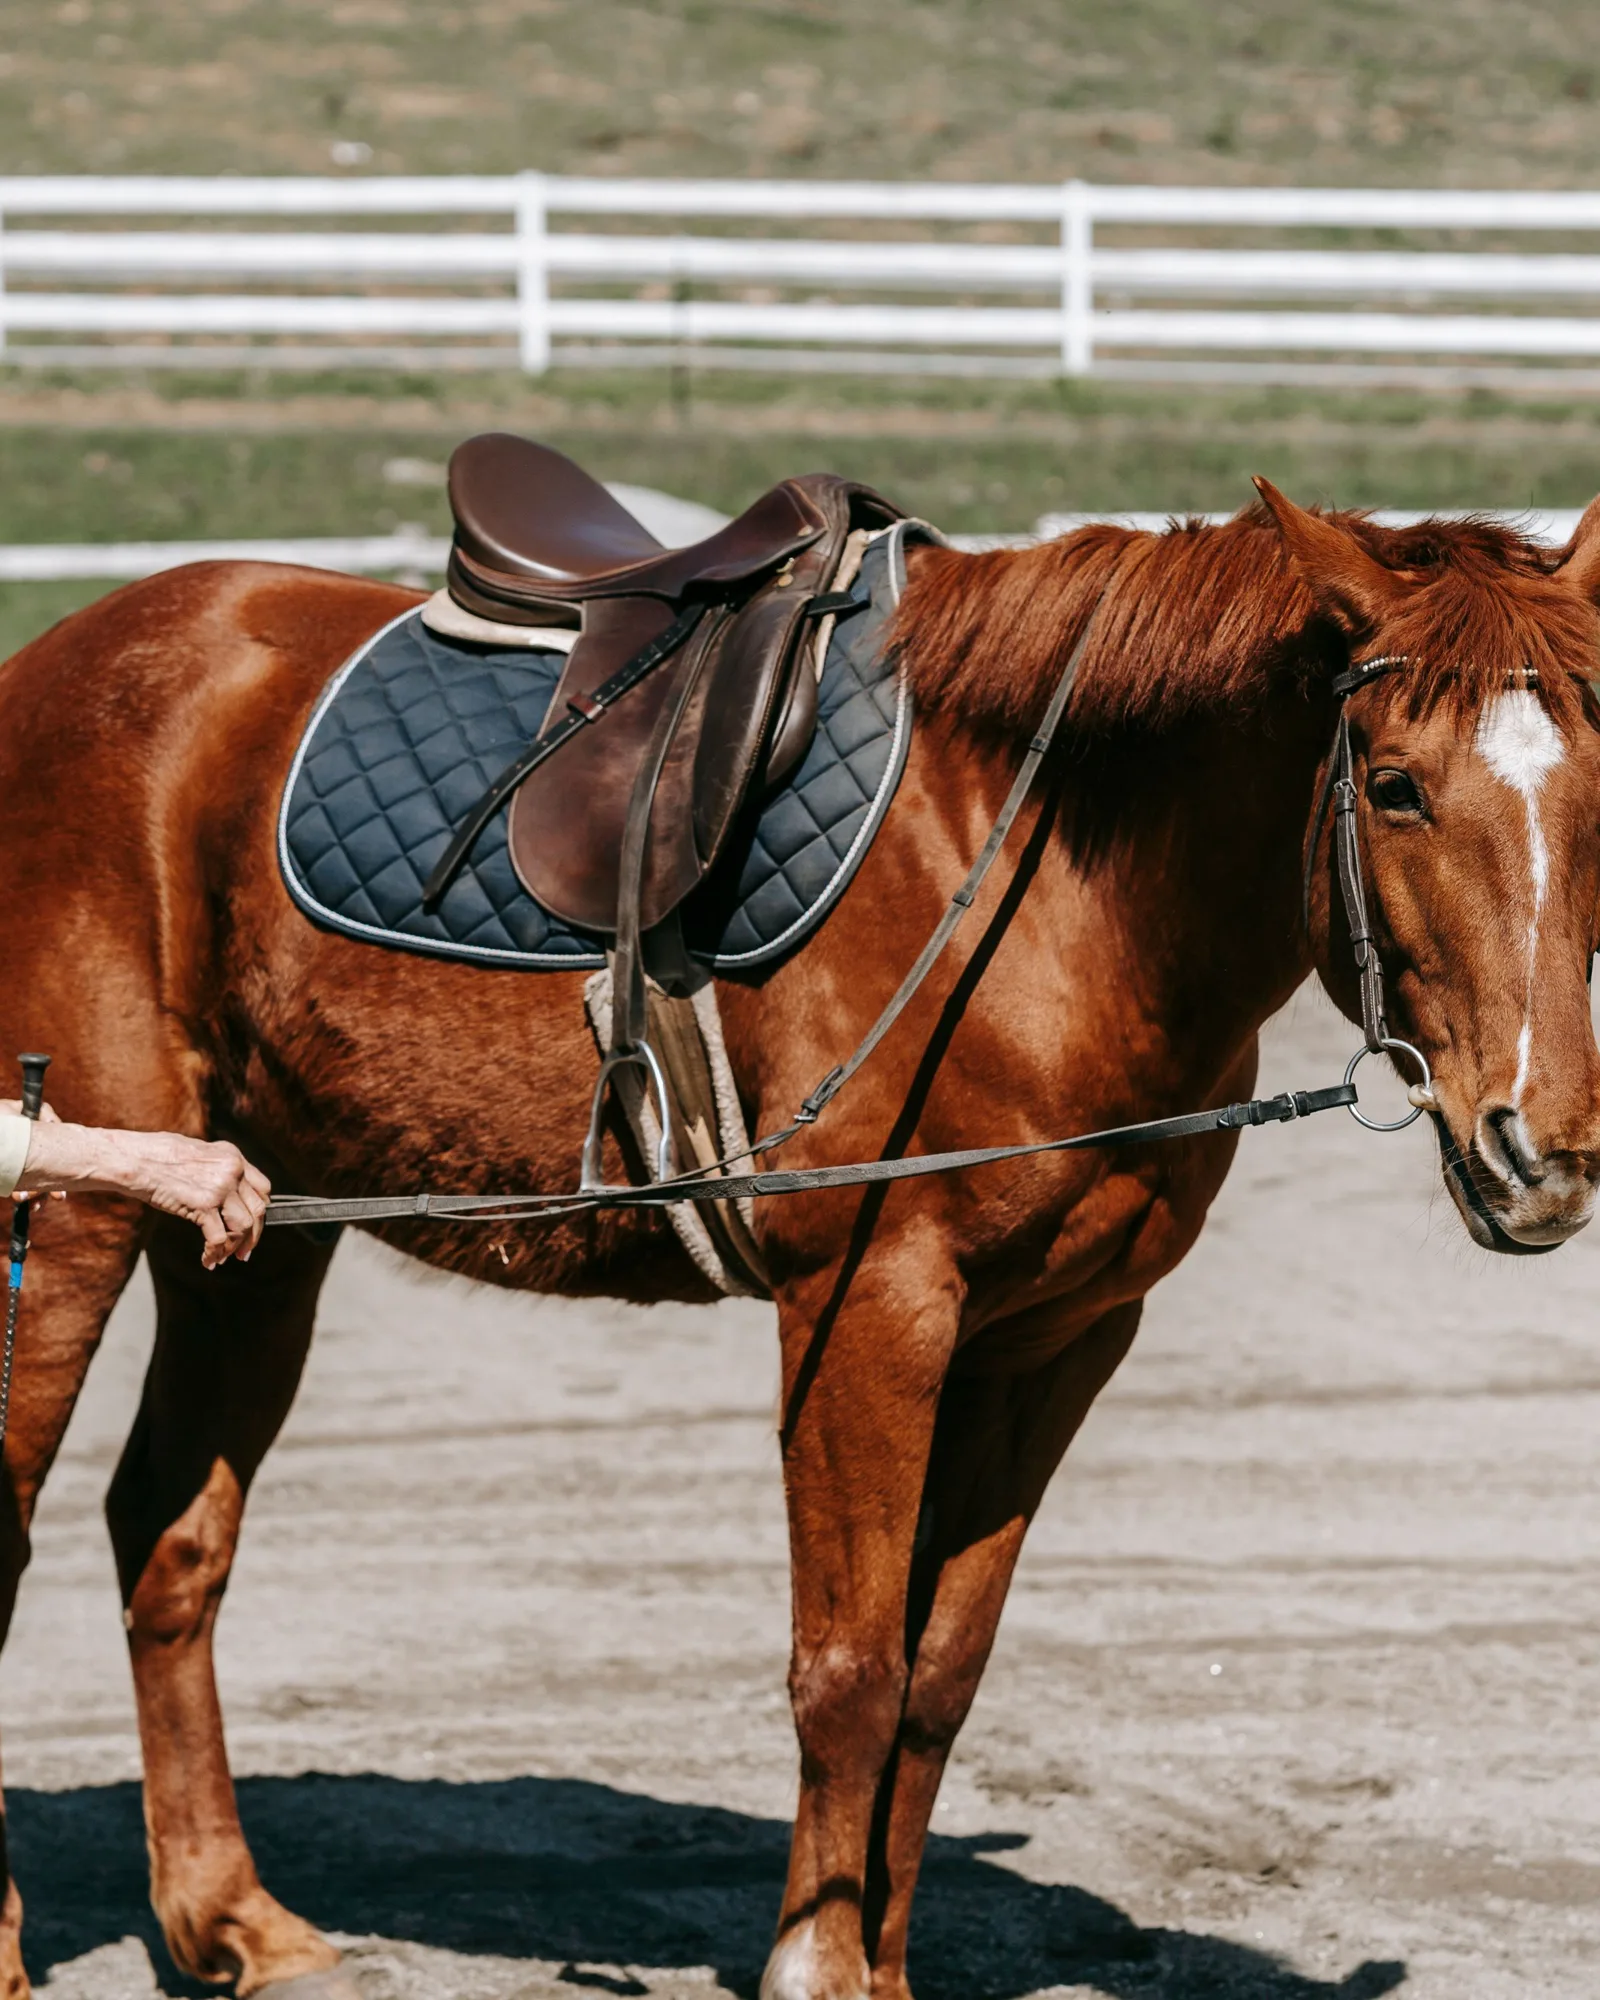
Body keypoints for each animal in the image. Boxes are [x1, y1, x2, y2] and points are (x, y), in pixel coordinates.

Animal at [0, 479, 1598, 2000]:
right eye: (1393, 787)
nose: (1544, 1153)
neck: (1036, 882)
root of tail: (57, 662)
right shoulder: (870, 1306)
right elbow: (850, 1671)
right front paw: (818, 1968)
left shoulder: (1058, 1339)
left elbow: (940, 1674)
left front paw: (883, 1964)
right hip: (70, 1212)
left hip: (254, 1230)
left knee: (171, 1535)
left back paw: (233, 1919)